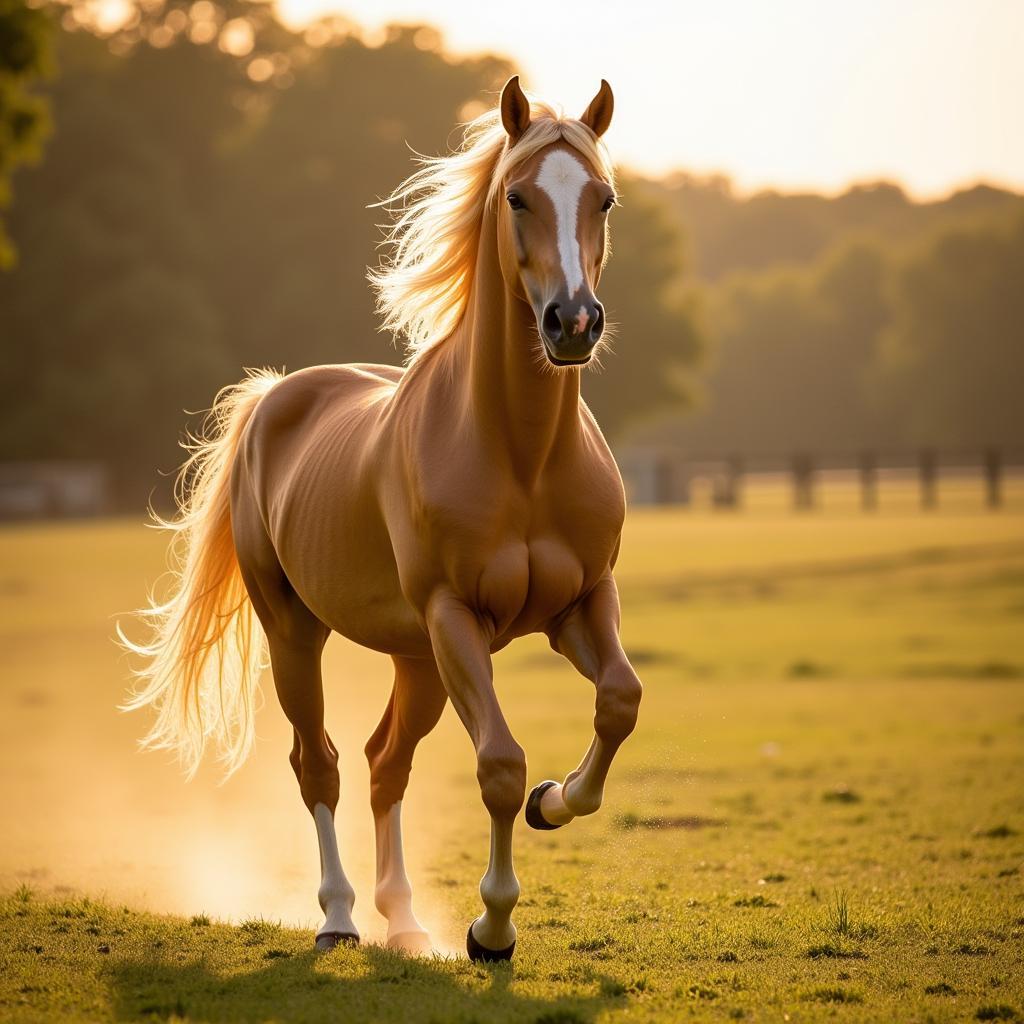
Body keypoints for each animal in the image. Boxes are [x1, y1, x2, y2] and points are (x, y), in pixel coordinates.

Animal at [121, 77, 638, 958]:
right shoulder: (456, 616)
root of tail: (274, 397)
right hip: (298, 633)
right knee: (319, 762)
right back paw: (339, 916)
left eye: (602, 198)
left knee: (381, 761)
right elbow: (498, 765)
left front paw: (555, 799)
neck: (522, 454)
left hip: (417, 658)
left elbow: (619, 702)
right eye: (518, 197)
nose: (573, 323)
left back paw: (403, 919)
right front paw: (492, 924)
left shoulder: (579, 603)